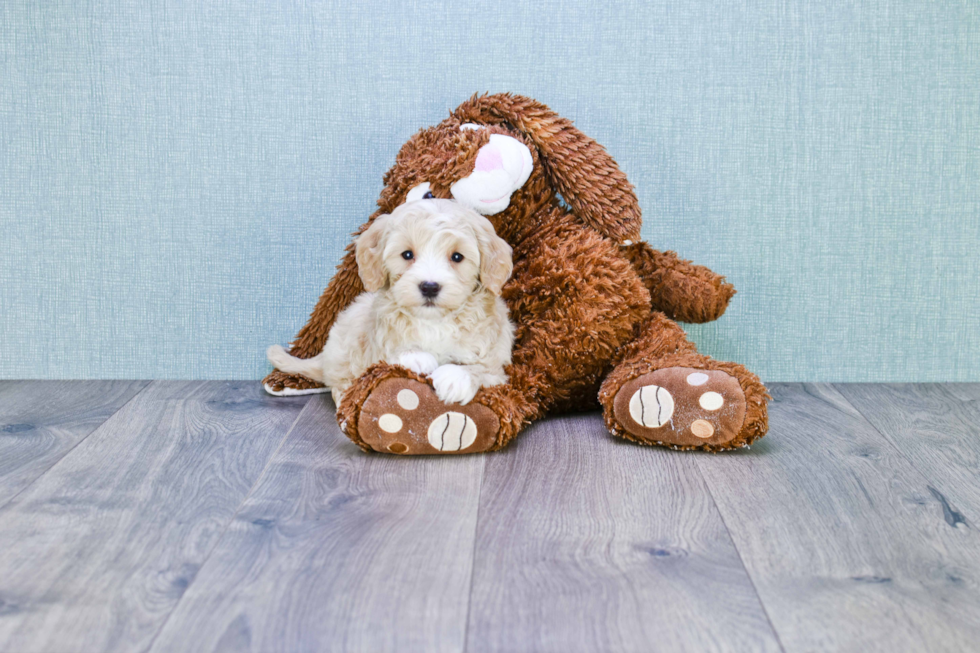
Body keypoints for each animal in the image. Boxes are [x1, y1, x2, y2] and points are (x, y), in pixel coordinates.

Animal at [264, 199, 516, 404]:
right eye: (407, 254)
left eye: (457, 257)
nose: (429, 286)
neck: (434, 322)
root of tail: (325, 356)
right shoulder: (376, 346)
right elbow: (392, 353)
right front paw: (416, 357)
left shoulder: (496, 365)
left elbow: (482, 369)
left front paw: (456, 378)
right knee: (339, 382)